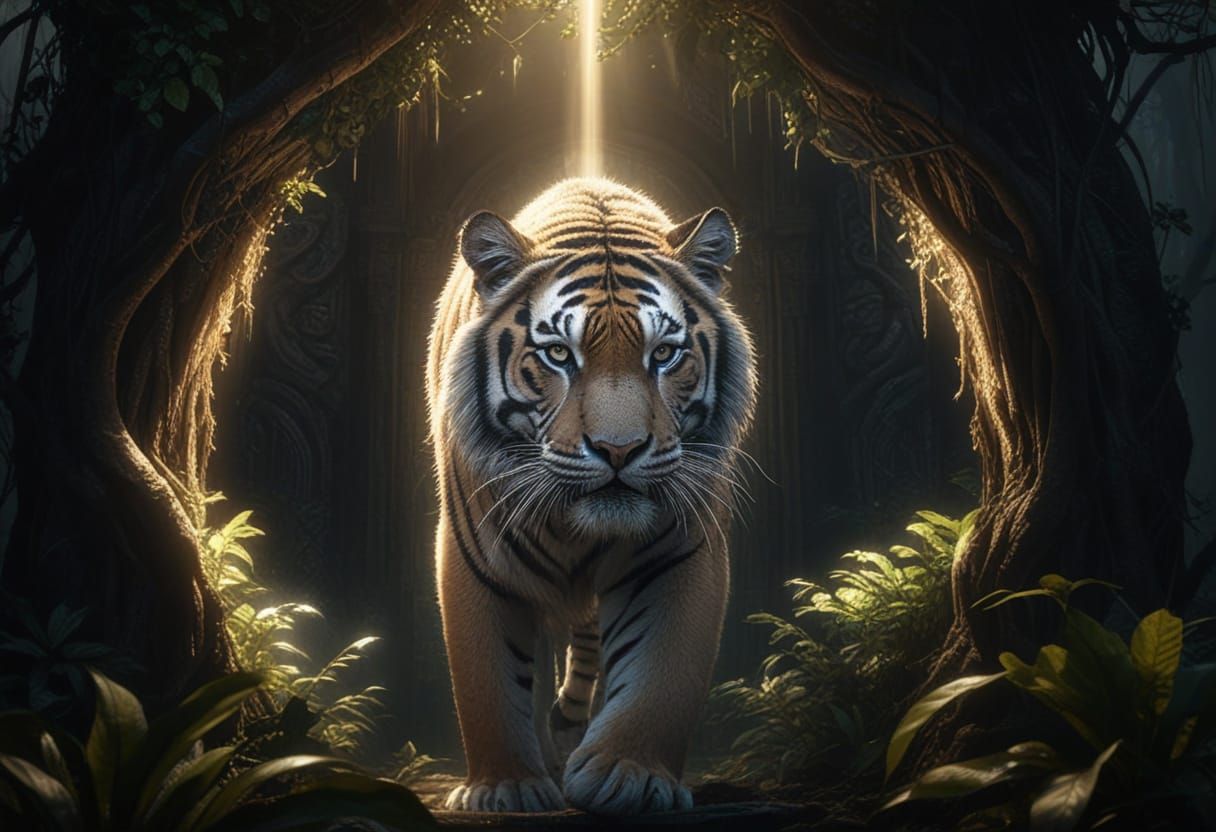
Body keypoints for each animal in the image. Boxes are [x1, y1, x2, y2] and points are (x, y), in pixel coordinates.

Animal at [426, 177, 757, 816]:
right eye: (559, 354)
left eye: (664, 354)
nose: (618, 449)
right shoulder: (474, 557)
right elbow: (487, 681)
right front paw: (506, 786)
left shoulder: (681, 552)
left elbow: (663, 673)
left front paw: (630, 775)